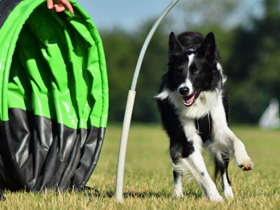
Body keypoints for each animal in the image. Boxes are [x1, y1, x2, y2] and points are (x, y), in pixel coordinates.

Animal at [155, 31, 254, 202]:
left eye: (196, 71)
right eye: (179, 71)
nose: (183, 90)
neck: (197, 104)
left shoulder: (219, 129)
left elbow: (237, 141)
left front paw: (244, 160)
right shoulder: (188, 141)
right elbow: (202, 173)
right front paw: (215, 198)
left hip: (220, 148)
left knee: (223, 169)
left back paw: (229, 195)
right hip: (174, 141)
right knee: (178, 167)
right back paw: (178, 194)